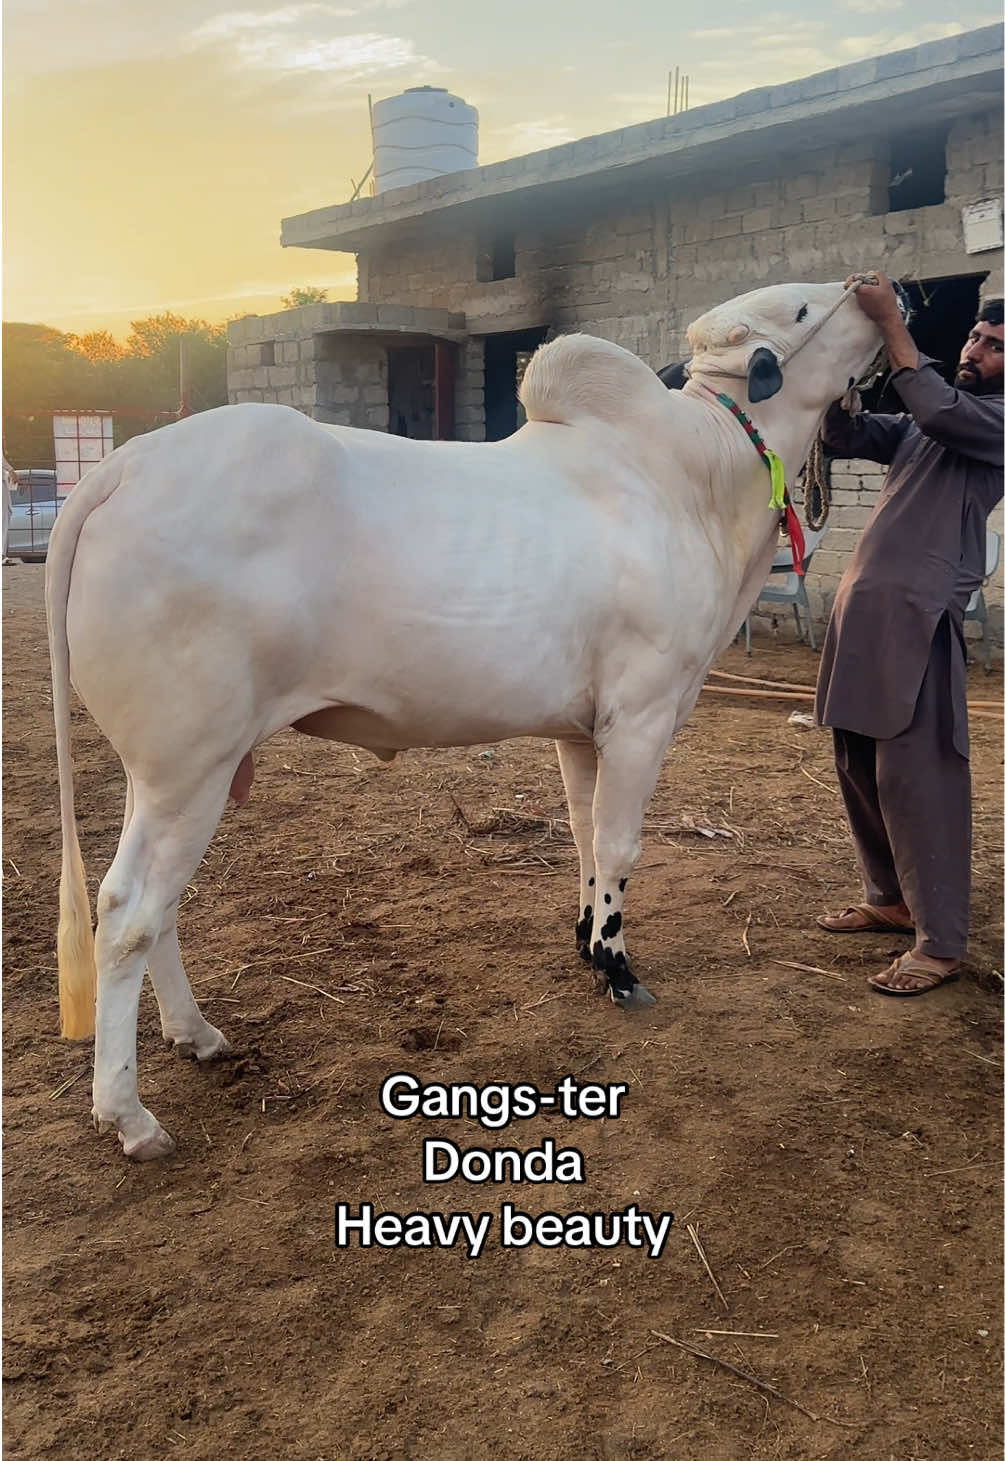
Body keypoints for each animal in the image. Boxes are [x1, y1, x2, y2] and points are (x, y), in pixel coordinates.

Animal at [46, 279, 888, 1159]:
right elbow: (620, 843)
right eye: (800, 311)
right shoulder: (644, 711)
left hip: (168, 772)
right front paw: (617, 968)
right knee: (129, 913)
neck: (695, 473)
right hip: (191, 766)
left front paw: (586, 942)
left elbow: (584, 836)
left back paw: (195, 1033)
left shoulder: (580, 729)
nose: (881, 290)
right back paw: (129, 1112)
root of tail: (127, 464)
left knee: (156, 905)